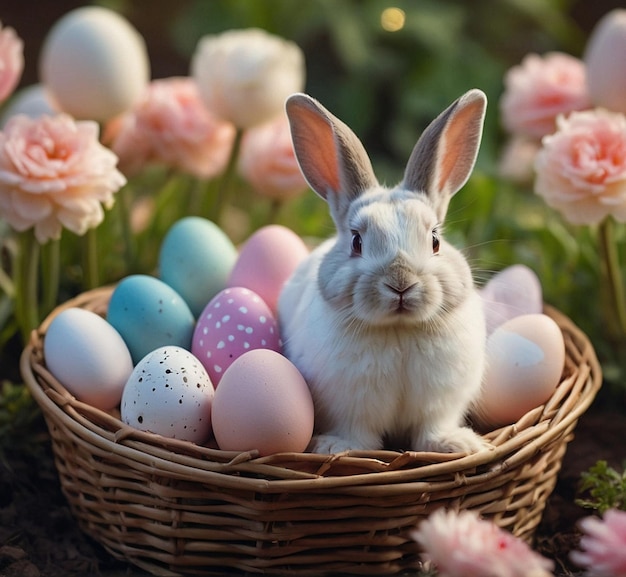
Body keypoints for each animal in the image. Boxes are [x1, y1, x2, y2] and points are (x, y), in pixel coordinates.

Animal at [278, 89, 488, 454]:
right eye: (357, 241)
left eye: (435, 240)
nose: (401, 283)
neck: (398, 330)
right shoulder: (348, 407)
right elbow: (357, 433)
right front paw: (336, 448)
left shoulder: (439, 404)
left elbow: (432, 429)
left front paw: (457, 445)